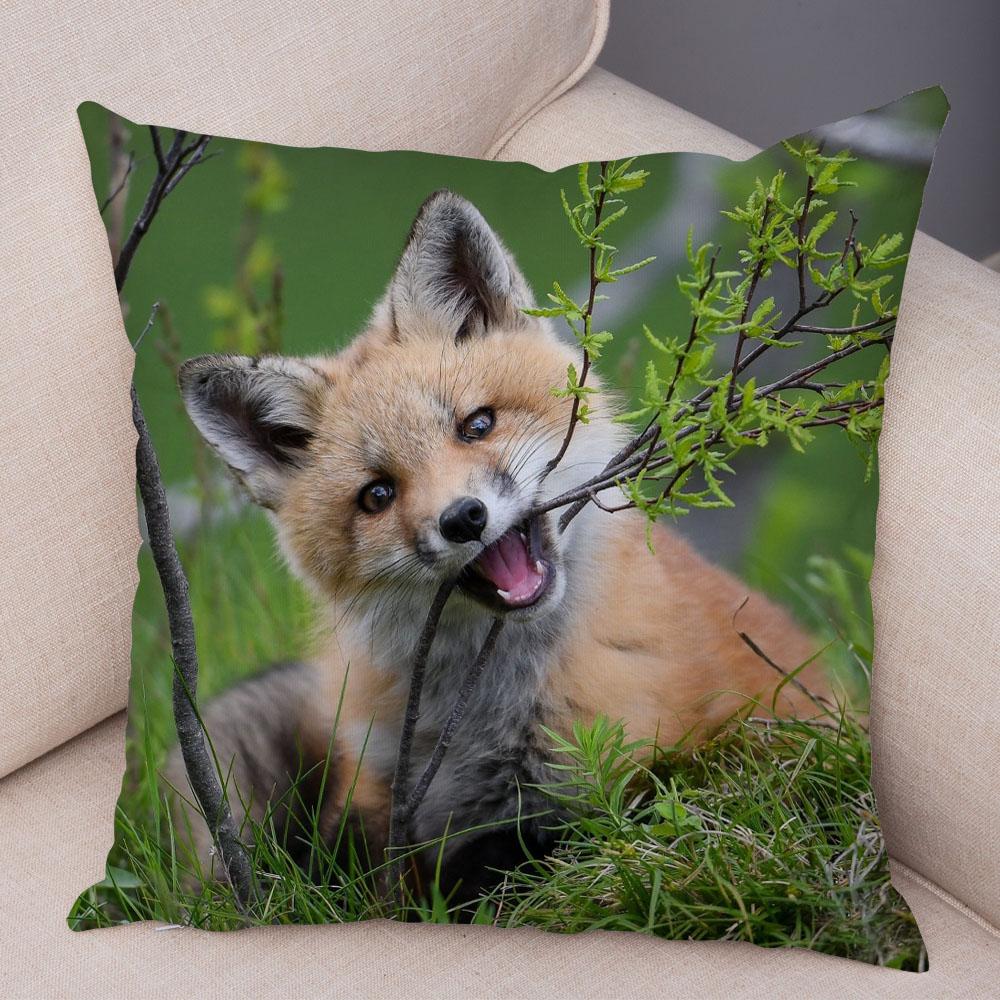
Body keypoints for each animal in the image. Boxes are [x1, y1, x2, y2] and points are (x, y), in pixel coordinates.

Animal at [166, 189, 831, 905]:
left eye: (476, 425)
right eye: (378, 494)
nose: (463, 518)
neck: (490, 712)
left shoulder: (614, 791)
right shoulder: (380, 801)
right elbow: (368, 878)